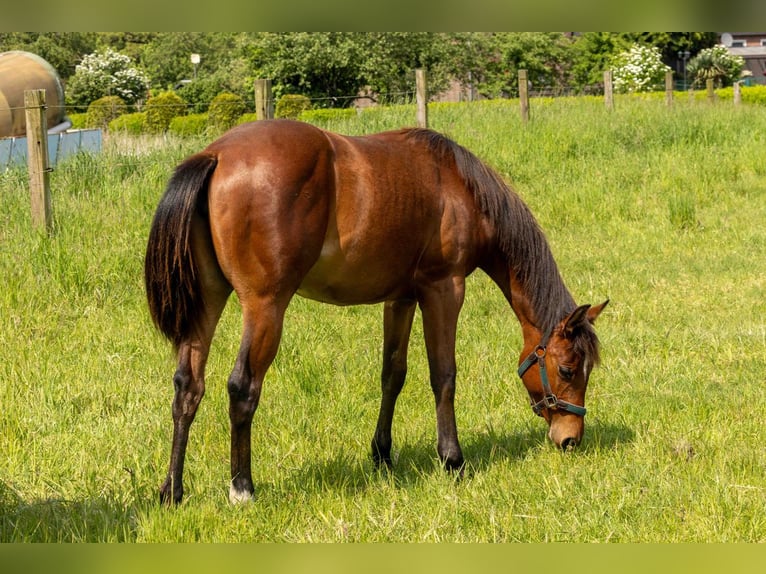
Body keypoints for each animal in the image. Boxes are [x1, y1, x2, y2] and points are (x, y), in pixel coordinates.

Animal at [144, 119, 608, 505]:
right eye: (567, 370)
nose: (571, 440)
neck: (458, 188)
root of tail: (217, 155)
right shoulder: (444, 290)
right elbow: (443, 376)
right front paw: (452, 460)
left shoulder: (400, 298)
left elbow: (393, 374)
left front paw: (382, 455)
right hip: (265, 306)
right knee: (242, 388)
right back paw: (242, 488)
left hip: (208, 300)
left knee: (188, 387)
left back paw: (173, 491)